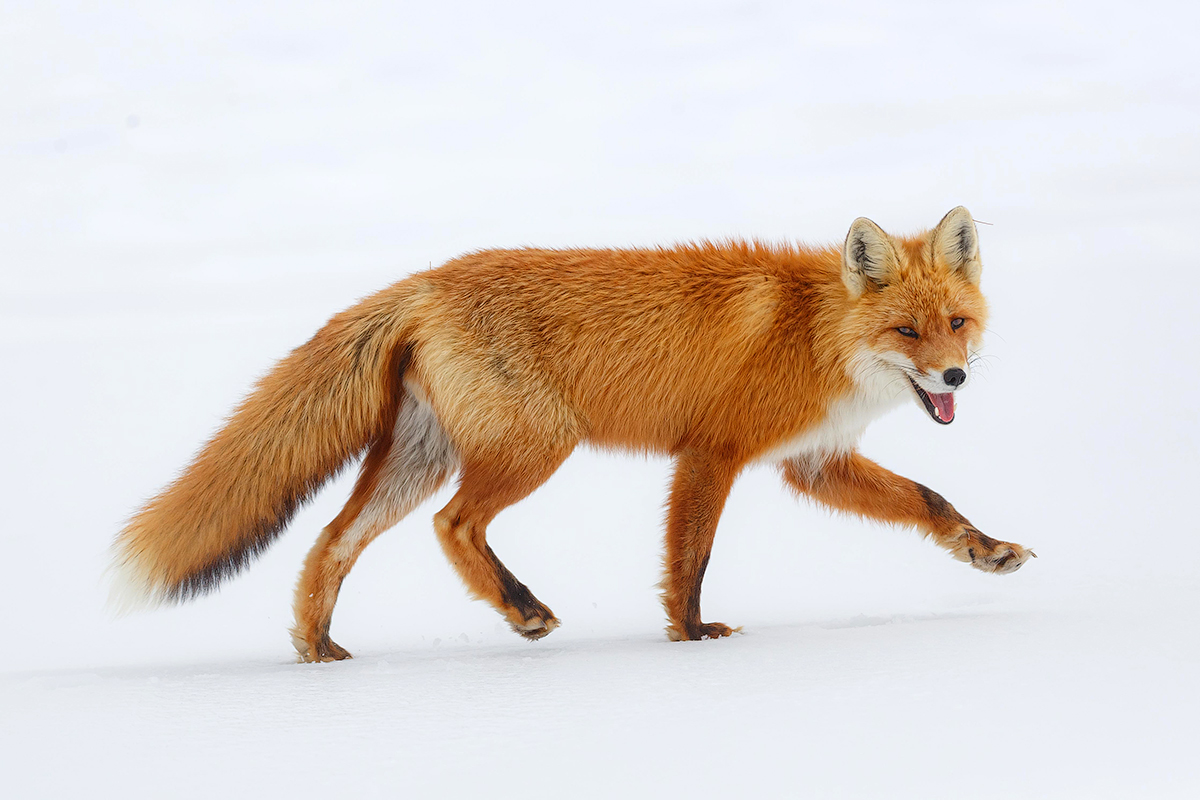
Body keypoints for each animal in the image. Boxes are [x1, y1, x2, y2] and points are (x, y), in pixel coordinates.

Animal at [110, 208, 1032, 662]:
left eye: (955, 323)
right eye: (907, 332)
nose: (954, 378)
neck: (814, 333)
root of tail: (425, 280)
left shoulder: (814, 462)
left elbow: (931, 500)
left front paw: (984, 550)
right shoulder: (714, 453)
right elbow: (689, 557)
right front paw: (691, 638)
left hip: (419, 460)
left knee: (331, 542)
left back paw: (316, 647)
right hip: (531, 450)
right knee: (453, 526)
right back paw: (521, 610)